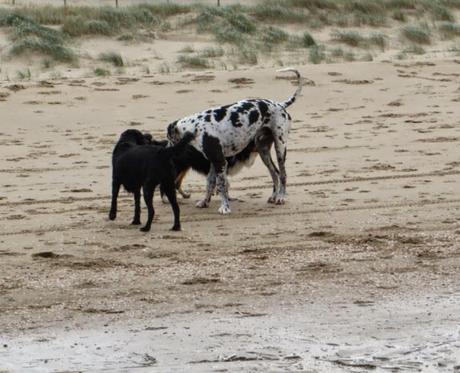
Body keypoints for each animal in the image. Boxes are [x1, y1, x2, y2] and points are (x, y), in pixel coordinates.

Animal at [167, 68, 304, 214]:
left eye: (168, 139)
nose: (166, 151)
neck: (196, 127)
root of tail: (280, 105)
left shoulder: (220, 162)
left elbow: (221, 186)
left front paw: (225, 207)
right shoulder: (214, 162)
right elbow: (210, 183)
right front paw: (205, 202)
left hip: (280, 148)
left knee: (283, 174)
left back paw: (281, 197)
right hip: (263, 151)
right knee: (275, 173)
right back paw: (274, 196)